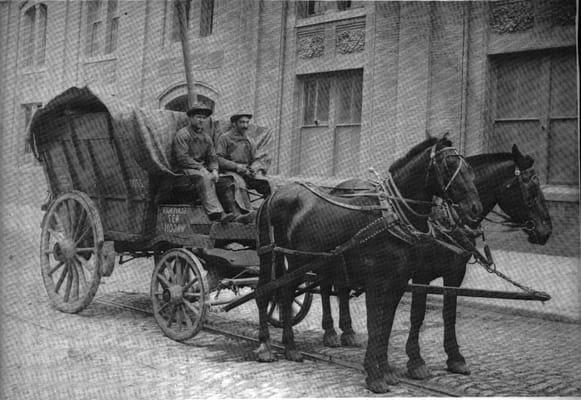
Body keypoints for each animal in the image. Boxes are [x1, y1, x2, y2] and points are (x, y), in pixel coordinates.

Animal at [255, 136, 484, 392]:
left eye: (469, 168)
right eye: (449, 165)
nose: (475, 207)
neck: (391, 216)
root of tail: (275, 194)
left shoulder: (398, 282)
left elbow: (386, 324)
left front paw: (386, 371)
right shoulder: (377, 281)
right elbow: (375, 323)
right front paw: (374, 375)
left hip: (298, 261)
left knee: (284, 293)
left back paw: (290, 347)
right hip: (272, 255)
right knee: (264, 293)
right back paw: (265, 346)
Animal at [320, 143, 552, 382]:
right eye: (531, 187)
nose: (546, 231)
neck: (446, 219)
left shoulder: (455, 272)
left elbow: (449, 313)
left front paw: (455, 358)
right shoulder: (420, 274)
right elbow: (417, 314)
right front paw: (416, 361)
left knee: (342, 288)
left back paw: (347, 332)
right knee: (325, 287)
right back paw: (331, 332)